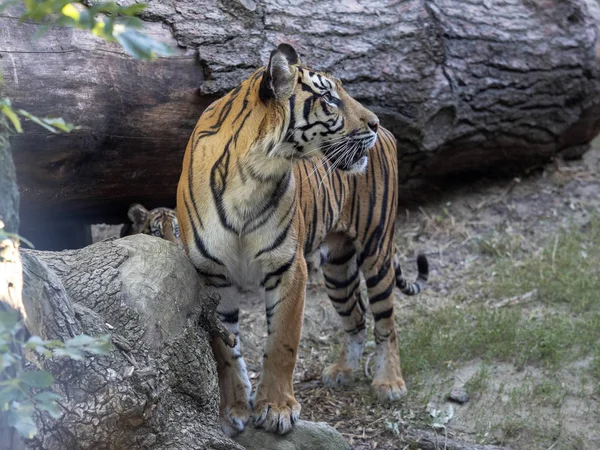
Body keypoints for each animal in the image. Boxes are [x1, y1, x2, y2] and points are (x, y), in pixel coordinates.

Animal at [176, 43, 428, 436]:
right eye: (330, 98)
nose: (374, 123)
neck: (250, 177)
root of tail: (390, 136)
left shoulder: (288, 268)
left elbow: (283, 341)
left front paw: (277, 409)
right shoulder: (212, 277)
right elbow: (225, 351)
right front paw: (234, 409)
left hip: (376, 249)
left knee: (386, 321)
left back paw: (389, 383)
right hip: (338, 268)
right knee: (356, 316)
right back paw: (343, 371)